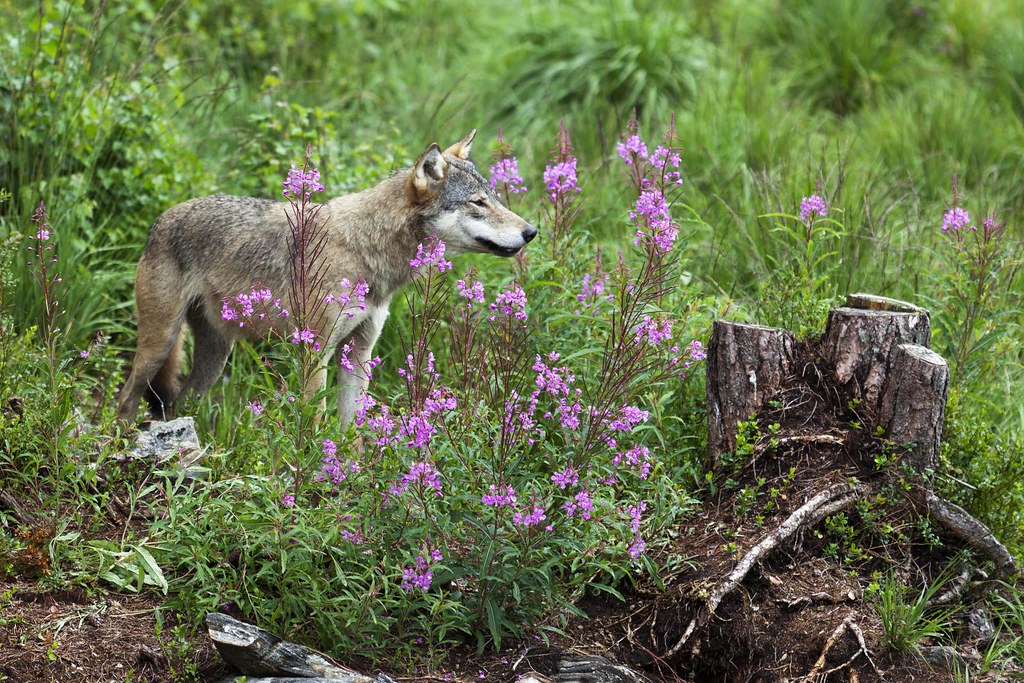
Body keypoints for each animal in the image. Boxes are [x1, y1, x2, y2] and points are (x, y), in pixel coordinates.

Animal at [117, 130, 536, 423]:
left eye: (494, 197)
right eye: (478, 203)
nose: (531, 232)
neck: (366, 249)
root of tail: (162, 218)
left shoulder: (359, 355)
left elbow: (353, 429)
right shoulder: (315, 351)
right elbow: (316, 420)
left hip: (214, 357)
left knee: (176, 404)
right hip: (159, 345)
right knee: (127, 397)